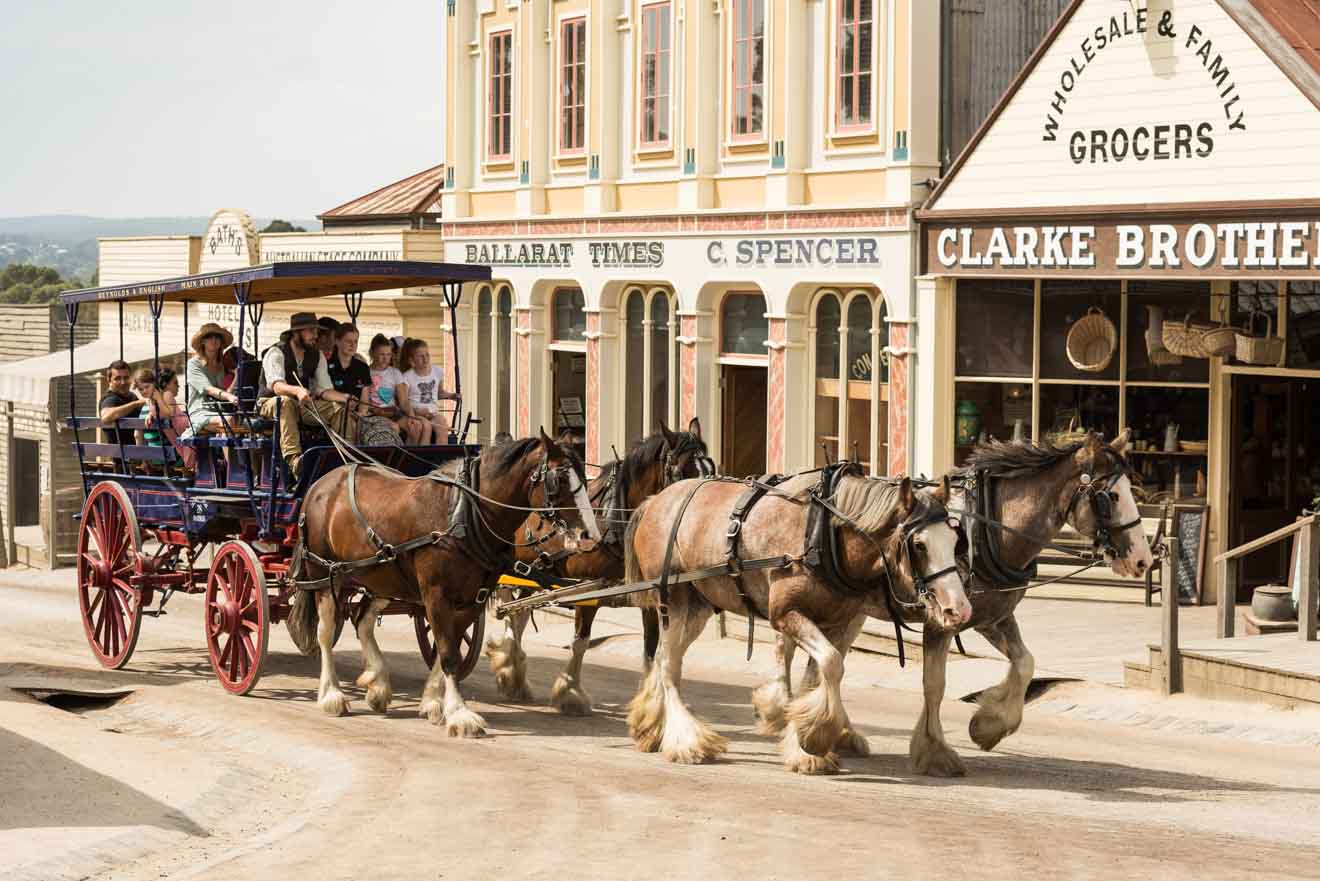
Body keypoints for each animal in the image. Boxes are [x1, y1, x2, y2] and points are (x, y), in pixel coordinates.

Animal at [291, 433, 601, 739]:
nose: (591, 536)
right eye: (559, 480)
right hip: (325, 574)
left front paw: (432, 701)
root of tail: (323, 483)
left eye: (585, 481)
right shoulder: (436, 595)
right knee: (326, 632)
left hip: (380, 576)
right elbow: (449, 653)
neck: (463, 514)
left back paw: (378, 683)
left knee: (362, 621)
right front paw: (460, 714)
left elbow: (448, 647)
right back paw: (331, 694)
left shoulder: (473, 598)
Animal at [483, 417, 712, 713]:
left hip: (532, 571)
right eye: (683, 471)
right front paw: (570, 692)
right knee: (511, 611)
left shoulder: (646, 592)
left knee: (518, 614)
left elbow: (651, 649)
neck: (615, 519)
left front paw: (650, 703)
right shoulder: (586, 589)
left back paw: (513, 672)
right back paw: (509, 667)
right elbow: (581, 642)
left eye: (711, 467)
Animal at [617, 472, 971, 776]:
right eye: (919, 545)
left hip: (696, 607)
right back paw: (687, 741)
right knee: (668, 665)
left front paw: (805, 739)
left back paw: (651, 726)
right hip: (673, 600)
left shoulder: (837, 621)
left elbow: (818, 677)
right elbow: (831, 663)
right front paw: (813, 739)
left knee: (663, 659)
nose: (959, 609)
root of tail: (654, 500)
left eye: (955, 540)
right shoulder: (787, 614)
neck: (823, 535)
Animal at [770, 430, 1151, 776]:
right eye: (1111, 496)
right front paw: (935, 751)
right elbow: (934, 686)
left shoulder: (993, 618)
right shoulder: (941, 621)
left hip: (850, 613)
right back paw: (781, 713)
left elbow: (1025, 663)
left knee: (816, 661)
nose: (1144, 559)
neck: (987, 532)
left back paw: (836, 732)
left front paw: (989, 725)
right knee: (787, 652)